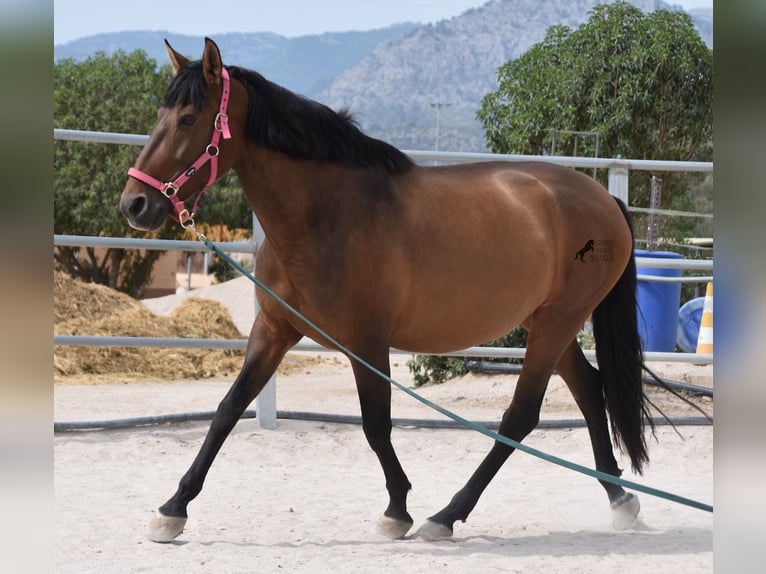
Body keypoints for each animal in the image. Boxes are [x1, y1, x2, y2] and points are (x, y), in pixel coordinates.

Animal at [120, 39, 656, 544]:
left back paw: (446, 516)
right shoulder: (273, 330)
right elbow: (228, 410)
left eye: (189, 117)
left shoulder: (366, 343)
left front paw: (398, 510)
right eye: (160, 115)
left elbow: (376, 425)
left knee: (519, 416)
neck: (326, 216)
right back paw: (621, 500)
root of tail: (602, 197)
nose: (135, 204)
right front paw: (172, 509)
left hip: (556, 323)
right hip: (548, 323)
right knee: (590, 392)